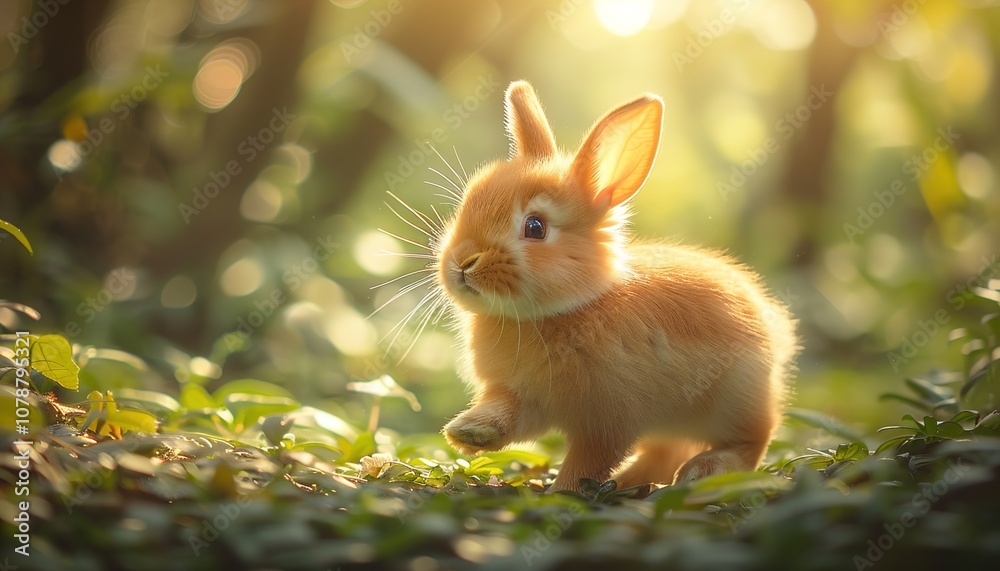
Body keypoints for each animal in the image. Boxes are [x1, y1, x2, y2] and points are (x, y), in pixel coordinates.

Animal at [429, 80, 798, 492]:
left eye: (535, 227)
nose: (462, 263)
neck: (567, 309)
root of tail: (775, 328)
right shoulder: (523, 397)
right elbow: (509, 415)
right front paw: (467, 432)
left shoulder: (608, 421)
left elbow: (588, 459)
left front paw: (562, 492)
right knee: (666, 452)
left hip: (735, 400)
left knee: (752, 441)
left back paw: (705, 469)